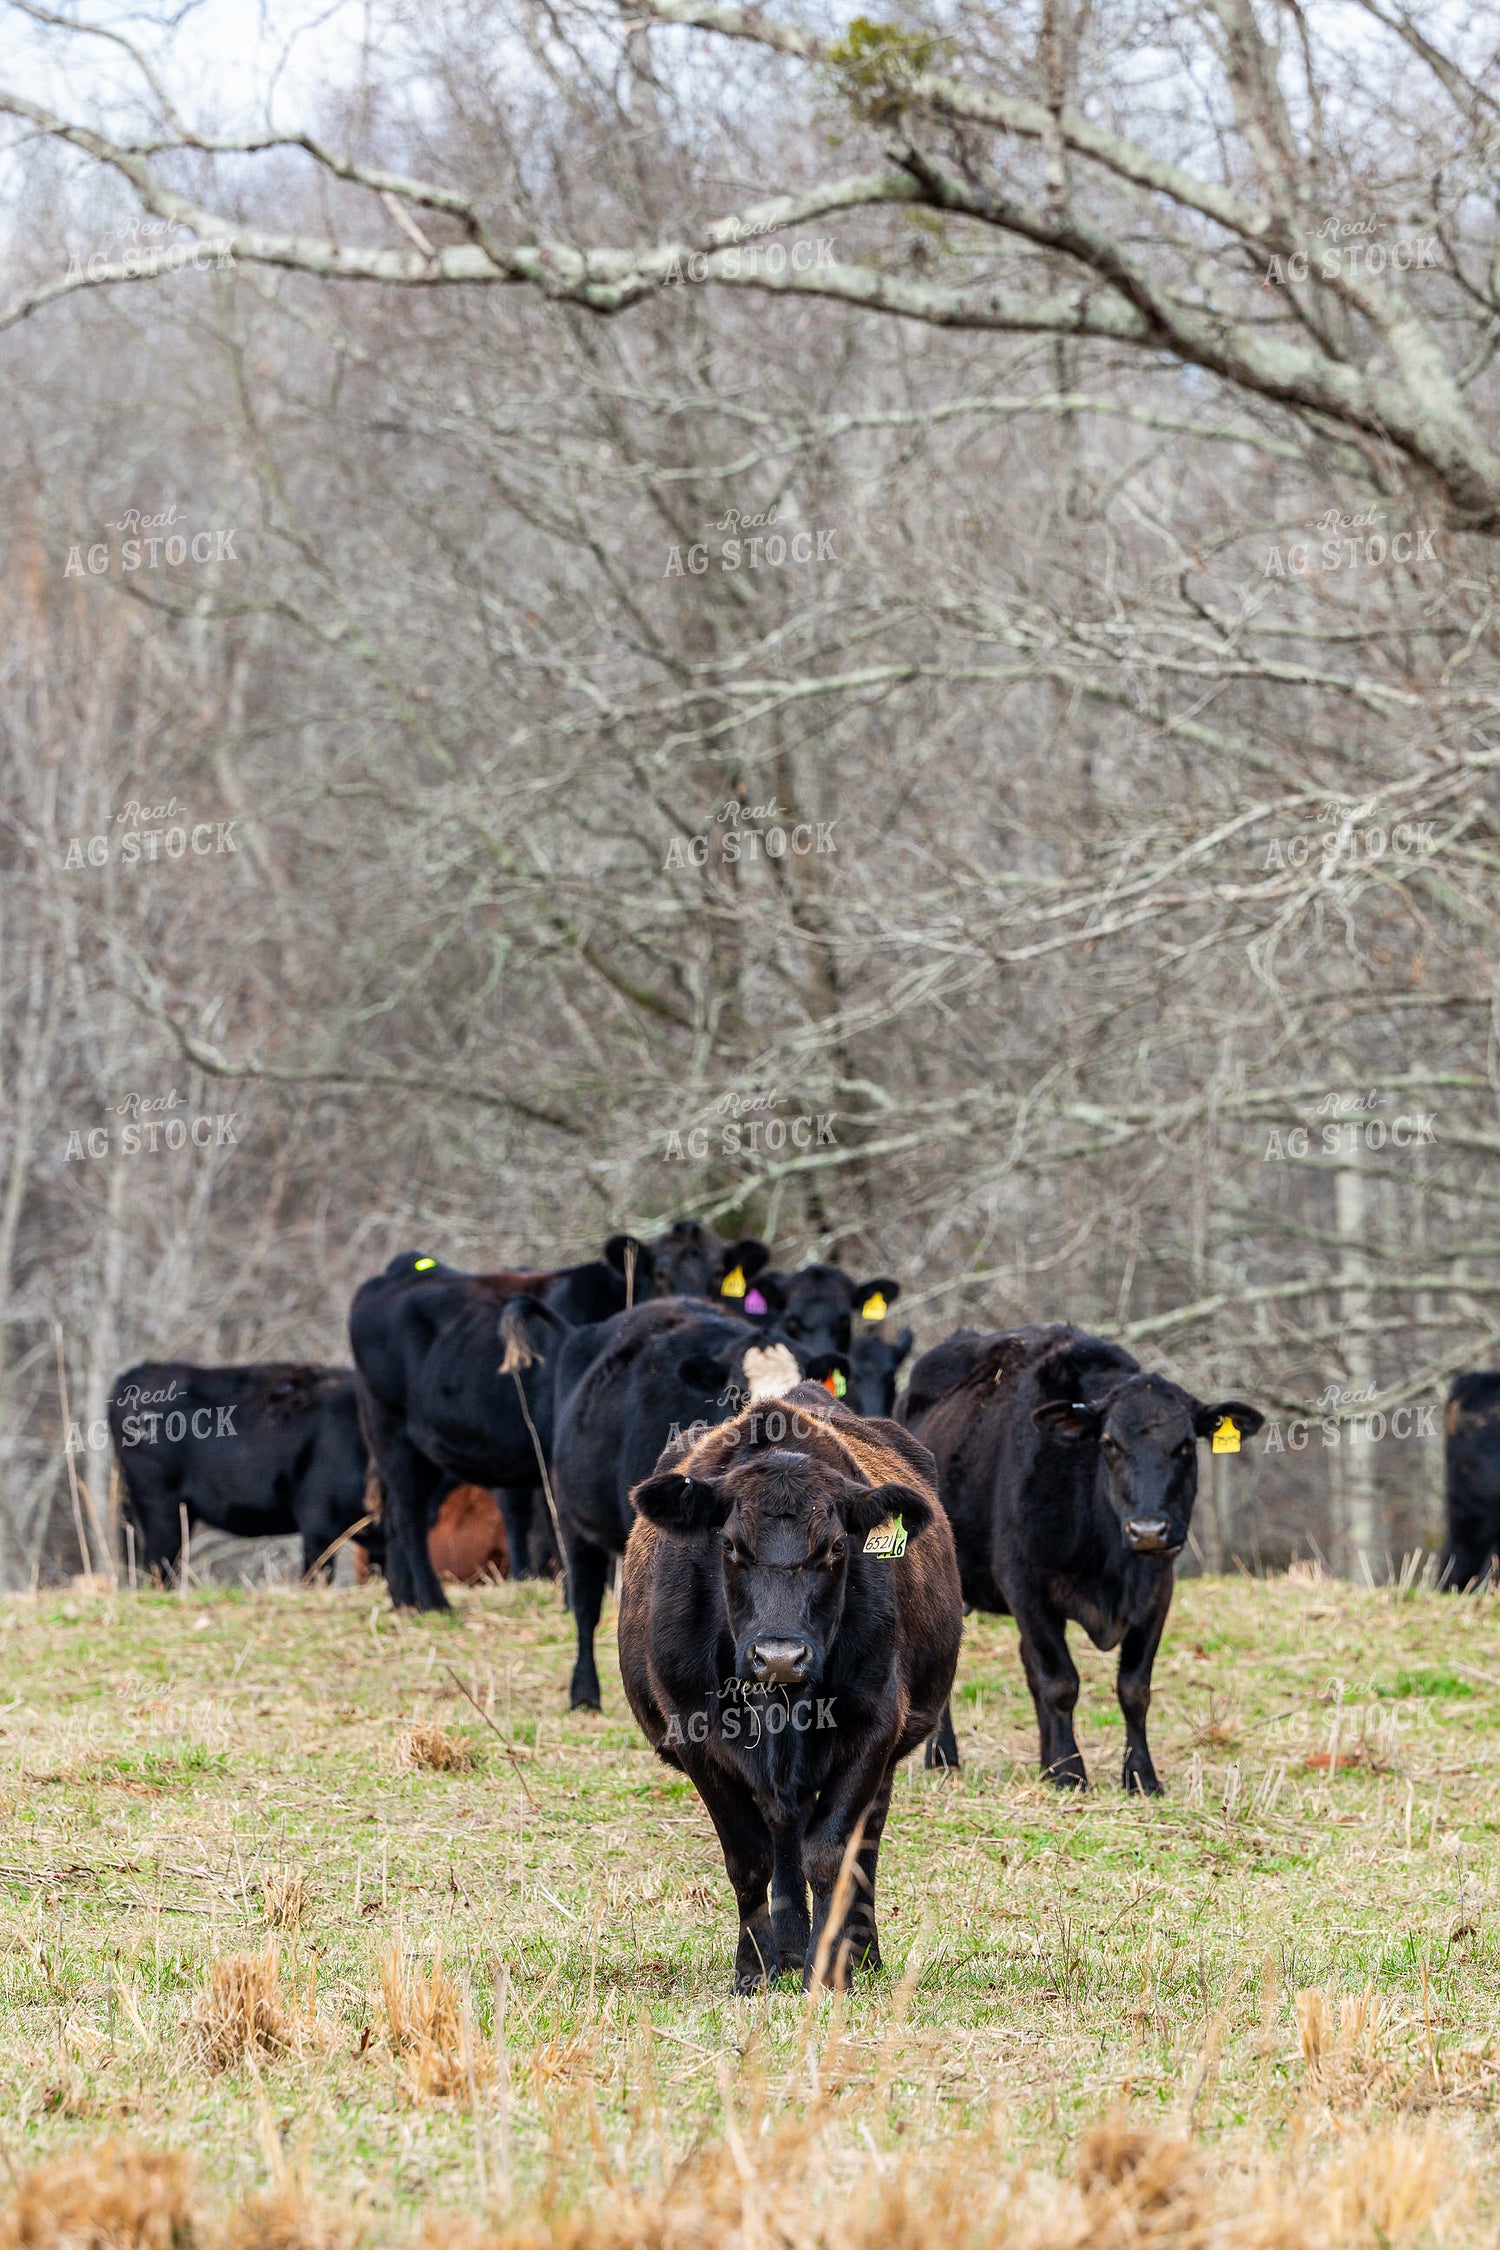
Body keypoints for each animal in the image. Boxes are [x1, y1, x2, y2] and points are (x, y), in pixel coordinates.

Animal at [618, 1382, 962, 1991]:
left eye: (836, 1548)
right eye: (730, 1546)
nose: (780, 1657)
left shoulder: (872, 1729)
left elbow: (831, 1854)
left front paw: (830, 1971)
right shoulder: (696, 1737)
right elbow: (750, 1858)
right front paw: (754, 1969)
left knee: (858, 1848)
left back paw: (856, 1952)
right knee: (782, 1839)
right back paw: (788, 1951)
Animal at [900, 1323, 1262, 1792]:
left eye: (1185, 1446)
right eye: (1108, 1443)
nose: (1148, 1529)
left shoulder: (1157, 1590)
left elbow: (1134, 1688)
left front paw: (1140, 1775)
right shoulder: (1025, 1585)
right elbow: (1060, 1682)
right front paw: (1070, 1771)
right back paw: (943, 1756)